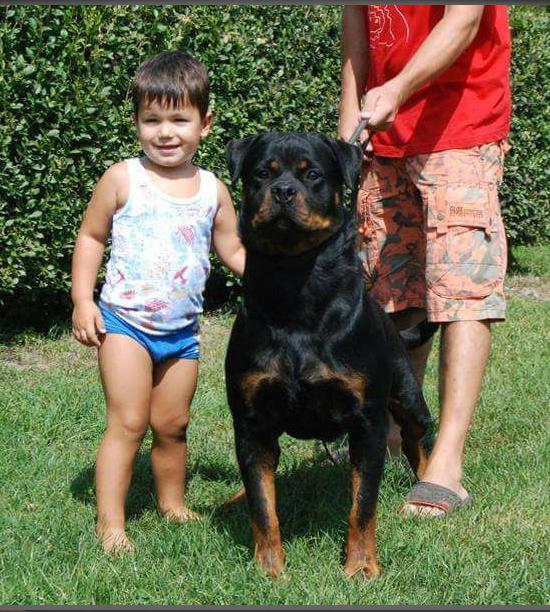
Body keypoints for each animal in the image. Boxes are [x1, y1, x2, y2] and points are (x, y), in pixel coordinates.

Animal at [224, 132, 433, 578]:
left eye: (313, 174)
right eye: (261, 173)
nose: (283, 191)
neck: (295, 284)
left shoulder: (368, 422)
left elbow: (363, 504)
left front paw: (362, 566)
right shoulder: (251, 424)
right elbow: (262, 505)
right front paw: (269, 569)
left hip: (406, 394)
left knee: (417, 436)